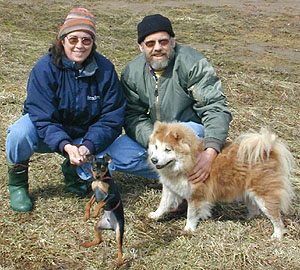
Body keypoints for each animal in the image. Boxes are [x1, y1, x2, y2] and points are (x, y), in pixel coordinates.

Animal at [149, 122, 294, 238]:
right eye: (156, 147)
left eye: (168, 149)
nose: (153, 160)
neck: (188, 162)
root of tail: (267, 152)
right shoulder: (170, 188)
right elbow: (163, 204)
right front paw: (155, 215)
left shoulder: (196, 195)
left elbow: (191, 214)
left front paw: (189, 229)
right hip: (249, 194)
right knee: (254, 209)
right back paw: (248, 219)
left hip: (263, 195)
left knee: (275, 217)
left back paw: (277, 235)